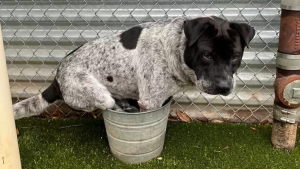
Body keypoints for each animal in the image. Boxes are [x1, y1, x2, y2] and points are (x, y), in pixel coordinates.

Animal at [12, 15, 254, 119]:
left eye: (235, 56)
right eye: (206, 55)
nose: (224, 87)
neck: (174, 49)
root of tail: (57, 78)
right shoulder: (150, 102)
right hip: (96, 94)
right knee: (107, 104)